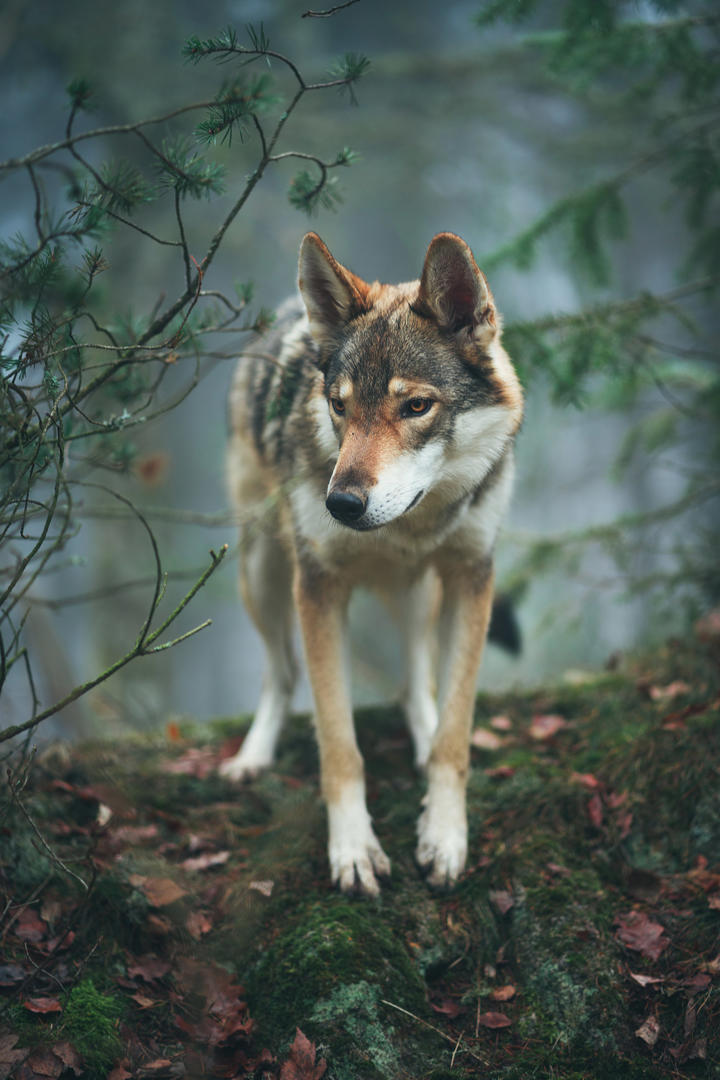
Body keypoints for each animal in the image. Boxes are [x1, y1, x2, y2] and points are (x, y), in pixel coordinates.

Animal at [220, 234, 524, 894]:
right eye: (340, 407)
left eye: (416, 406)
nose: (340, 504)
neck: (410, 526)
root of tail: (287, 310)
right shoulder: (319, 588)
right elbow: (340, 746)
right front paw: (354, 851)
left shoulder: (471, 576)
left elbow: (455, 735)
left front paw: (444, 836)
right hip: (261, 571)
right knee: (282, 674)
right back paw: (251, 759)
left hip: (416, 594)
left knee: (415, 681)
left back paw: (421, 736)